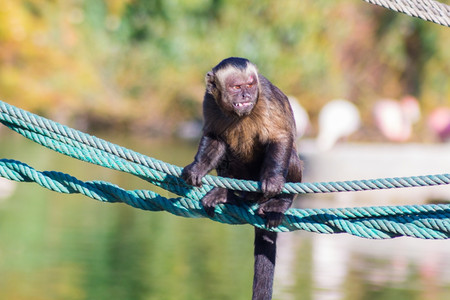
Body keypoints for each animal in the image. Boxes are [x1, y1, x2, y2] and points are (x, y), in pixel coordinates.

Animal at [182, 57, 302, 298]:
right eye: (236, 87)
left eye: (250, 85)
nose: (246, 96)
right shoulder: (209, 101)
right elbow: (214, 137)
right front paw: (198, 167)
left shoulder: (266, 97)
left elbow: (280, 136)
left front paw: (273, 180)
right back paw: (227, 194)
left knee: (290, 153)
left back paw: (280, 202)